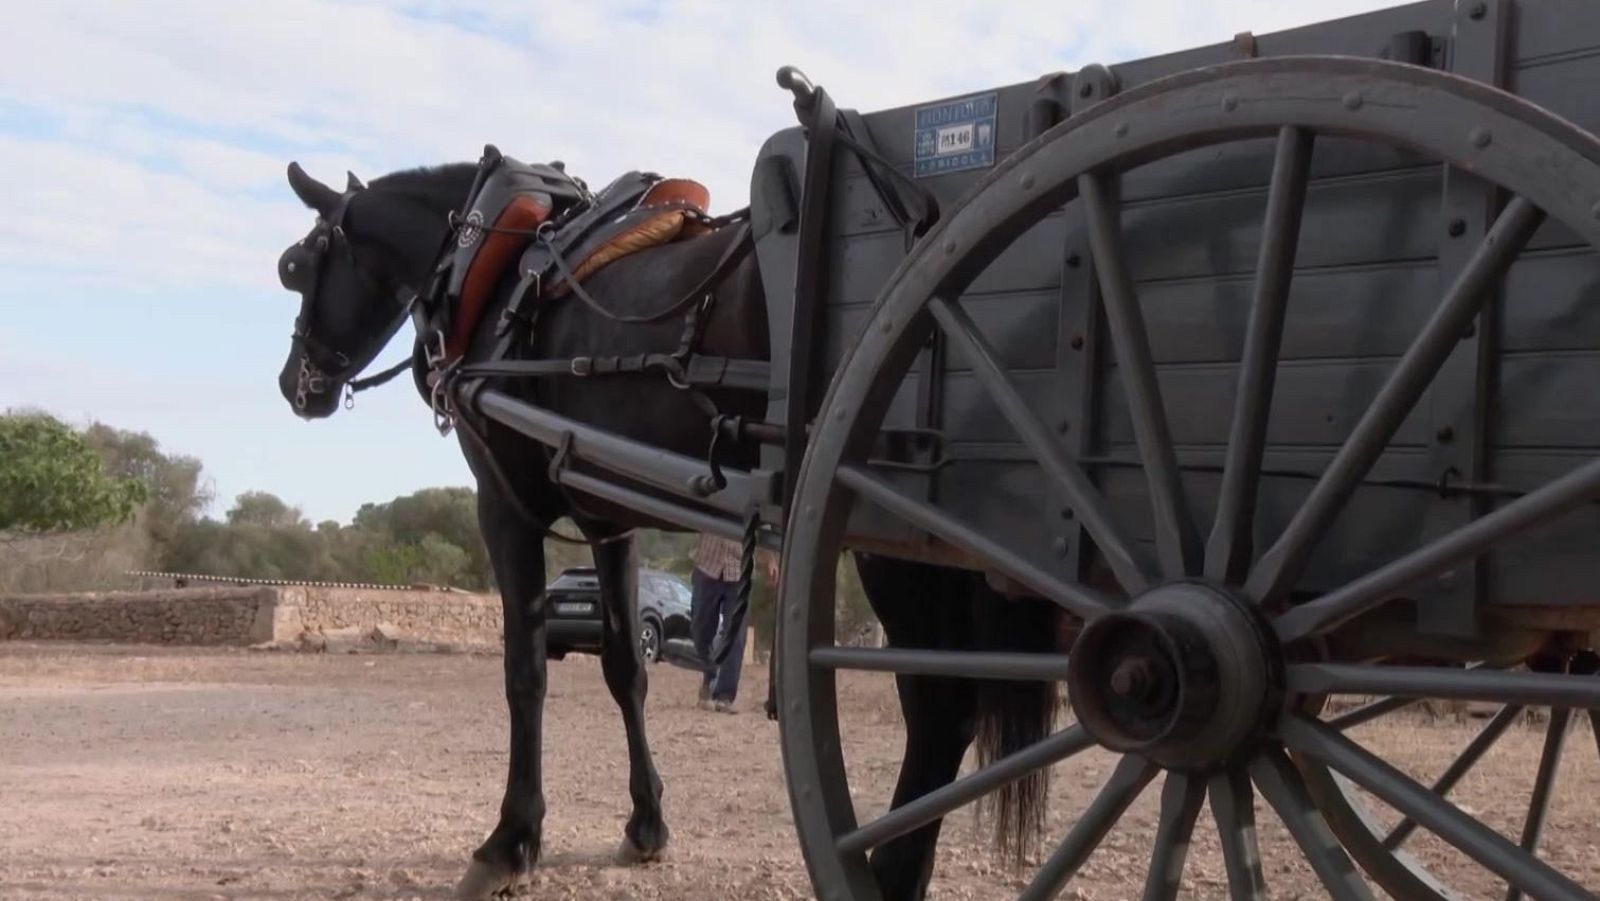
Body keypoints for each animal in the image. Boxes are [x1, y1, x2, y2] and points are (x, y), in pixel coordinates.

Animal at [273, 159, 1063, 900]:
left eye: (298, 265)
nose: (292, 384)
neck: (500, 261)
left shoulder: (504, 506)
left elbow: (525, 672)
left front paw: (511, 839)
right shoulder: (609, 521)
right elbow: (627, 668)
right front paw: (646, 822)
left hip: (894, 527)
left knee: (941, 710)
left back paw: (888, 874)